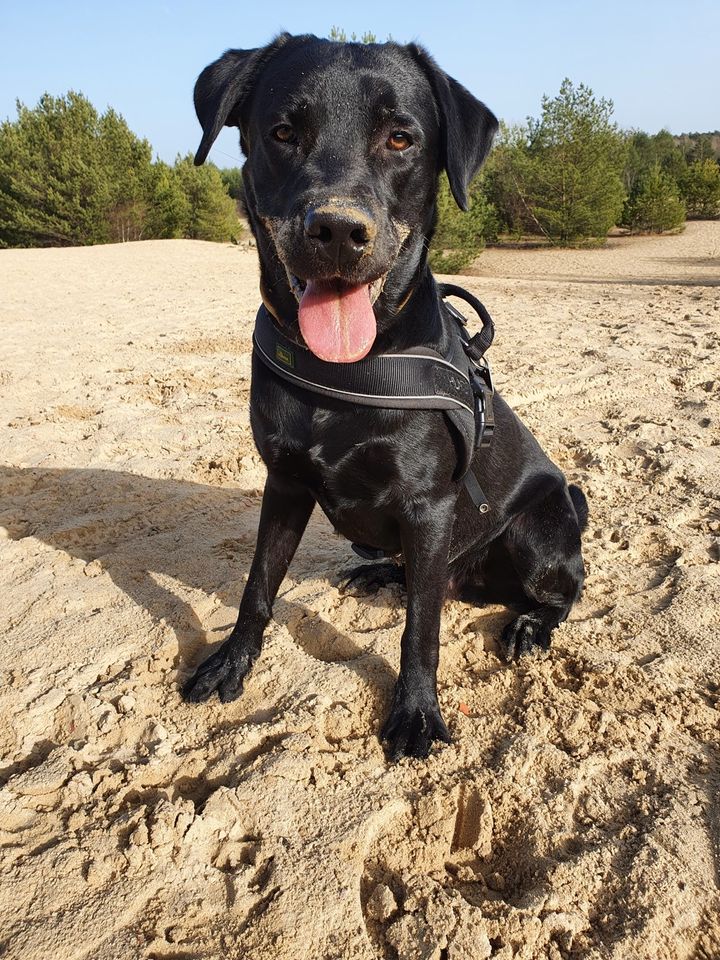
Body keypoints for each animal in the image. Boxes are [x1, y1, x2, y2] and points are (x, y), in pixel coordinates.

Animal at [183, 35, 588, 756]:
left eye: (401, 138)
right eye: (283, 132)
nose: (339, 231)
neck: (349, 372)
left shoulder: (428, 508)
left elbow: (421, 632)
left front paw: (416, 713)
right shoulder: (285, 482)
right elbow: (258, 585)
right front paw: (232, 661)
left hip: (537, 526)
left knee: (559, 591)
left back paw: (529, 625)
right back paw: (381, 574)